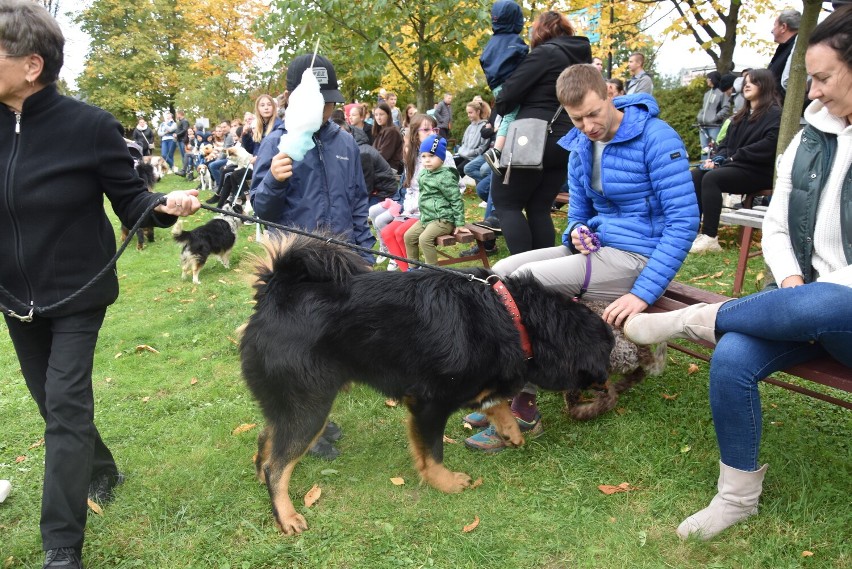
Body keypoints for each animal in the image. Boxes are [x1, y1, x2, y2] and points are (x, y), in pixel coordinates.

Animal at [240, 233, 620, 536]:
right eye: (607, 353)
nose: (607, 384)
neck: (514, 316)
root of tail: (274, 294)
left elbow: (493, 401)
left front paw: (510, 428)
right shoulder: (429, 403)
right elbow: (432, 451)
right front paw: (445, 482)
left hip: (293, 404)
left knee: (266, 438)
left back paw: (261, 478)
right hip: (311, 405)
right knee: (279, 464)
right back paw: (286, 514)